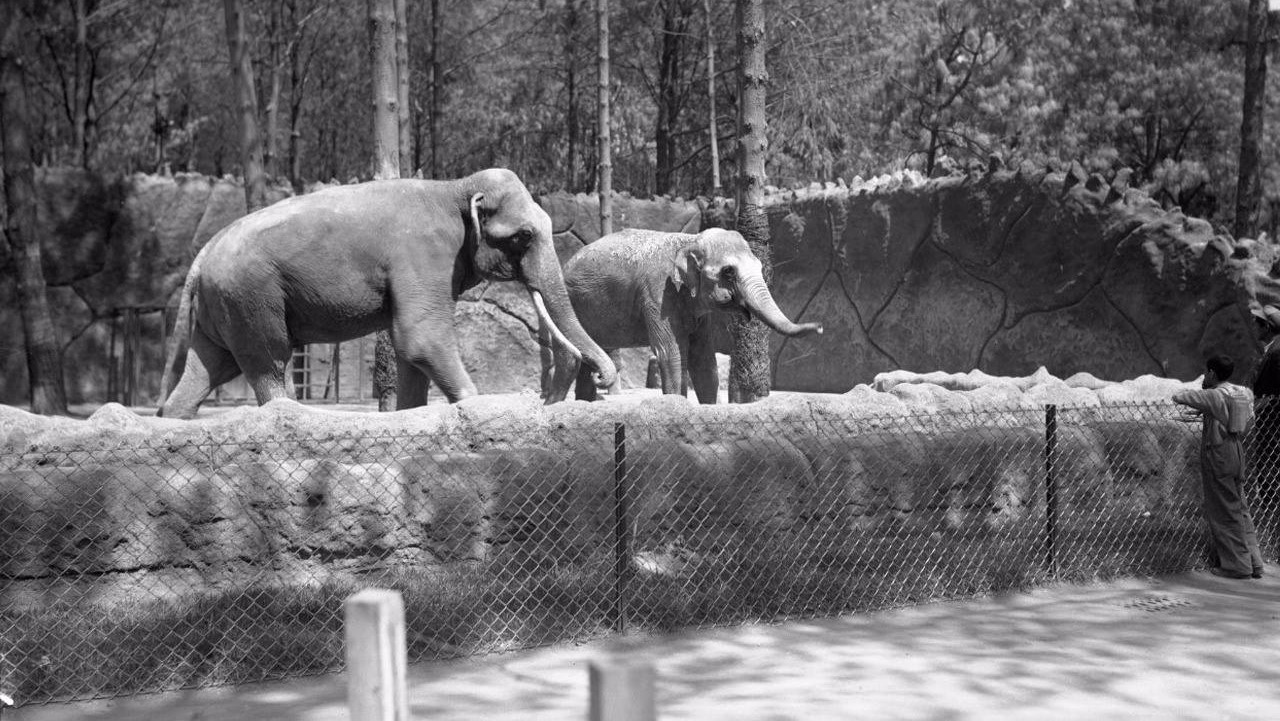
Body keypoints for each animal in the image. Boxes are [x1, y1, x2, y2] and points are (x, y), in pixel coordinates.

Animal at [157, 167, 616, 417]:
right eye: (523, 236)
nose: (603, 380)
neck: (455, 186)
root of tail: (203, 254)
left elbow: (410, 353)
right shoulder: (424, 255)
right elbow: (421, 339)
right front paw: (471, 405)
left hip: (225, 306)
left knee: (207, 370)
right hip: (252, 296)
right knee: (268, 362)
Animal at [537, 226, 819, 404]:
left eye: (760, 266)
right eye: (728, 271)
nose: (819, 328)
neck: (688, 239)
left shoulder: (696, 310)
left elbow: (703, 359)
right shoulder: (658, 294)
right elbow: (670, 353)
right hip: (568, 305)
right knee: (569, 360)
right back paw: (555, 407)